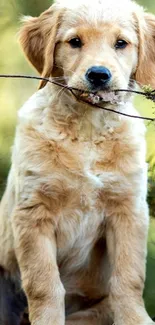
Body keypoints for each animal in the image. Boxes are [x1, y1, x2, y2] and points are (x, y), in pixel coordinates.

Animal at [0, 0, 155, 324]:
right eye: (74, 42)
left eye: (121, 43)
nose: (98, 75)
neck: (88, 127)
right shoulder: (33, 213)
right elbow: (44, 283)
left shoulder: (129, 210)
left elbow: (129, 277)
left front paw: (135, 319)